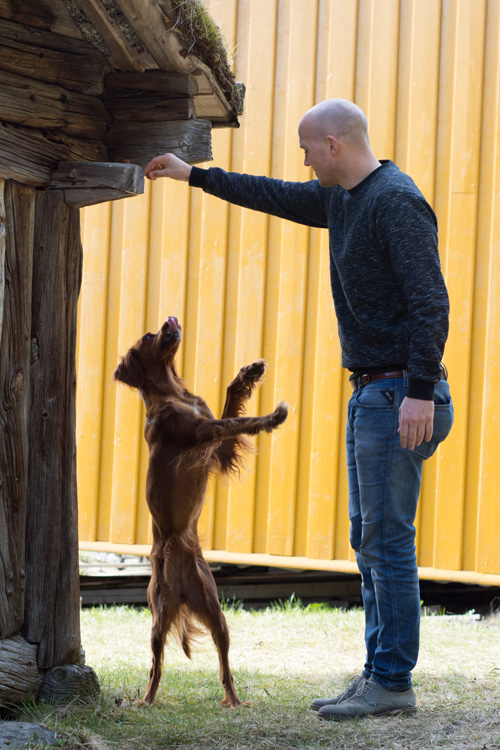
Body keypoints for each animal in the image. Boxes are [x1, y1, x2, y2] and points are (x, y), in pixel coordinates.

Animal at [112, 318, 288, 712]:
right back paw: (146, 701)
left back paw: (234, 701)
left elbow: (230, 403)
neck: (173, 393)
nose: (171, 319)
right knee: (155, 666)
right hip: (159, 614)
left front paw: (249, 373)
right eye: (149, 336)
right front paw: (271, 417)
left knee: (224, 666)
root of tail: (180, 592)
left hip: (216, 611)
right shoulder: (201, 433)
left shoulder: (216, 447)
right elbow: (238, 422)